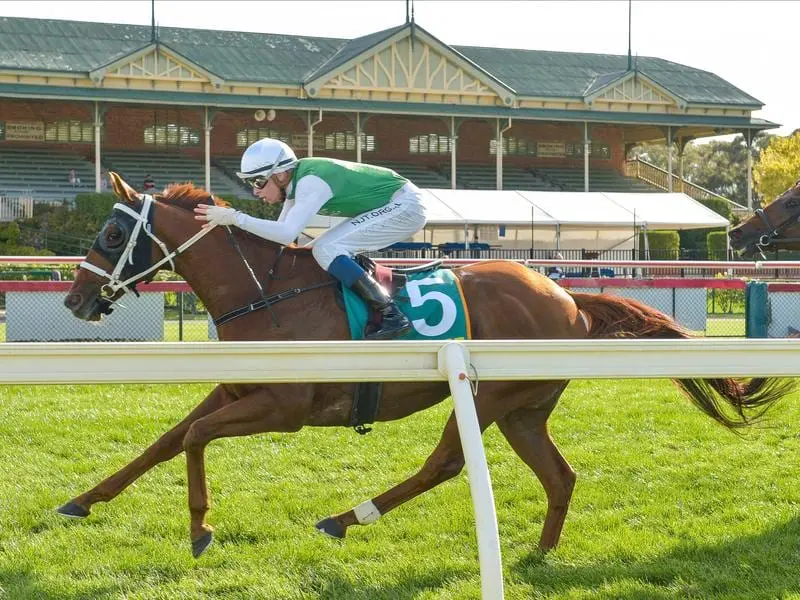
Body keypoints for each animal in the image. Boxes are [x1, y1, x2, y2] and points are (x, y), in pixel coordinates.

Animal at [61, 172, 788, 556]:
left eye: (113, 233)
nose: (74, 300)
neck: (265, 290)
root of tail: (565, 296)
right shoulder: (240, 388)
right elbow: (168, 438)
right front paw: (84, 500)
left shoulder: (286, 407)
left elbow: (196, 437)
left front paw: (200, 527)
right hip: (525, 408)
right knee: (560, 476)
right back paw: (540, 553)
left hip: (490, 397)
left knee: (445, 464)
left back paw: (345, 517)